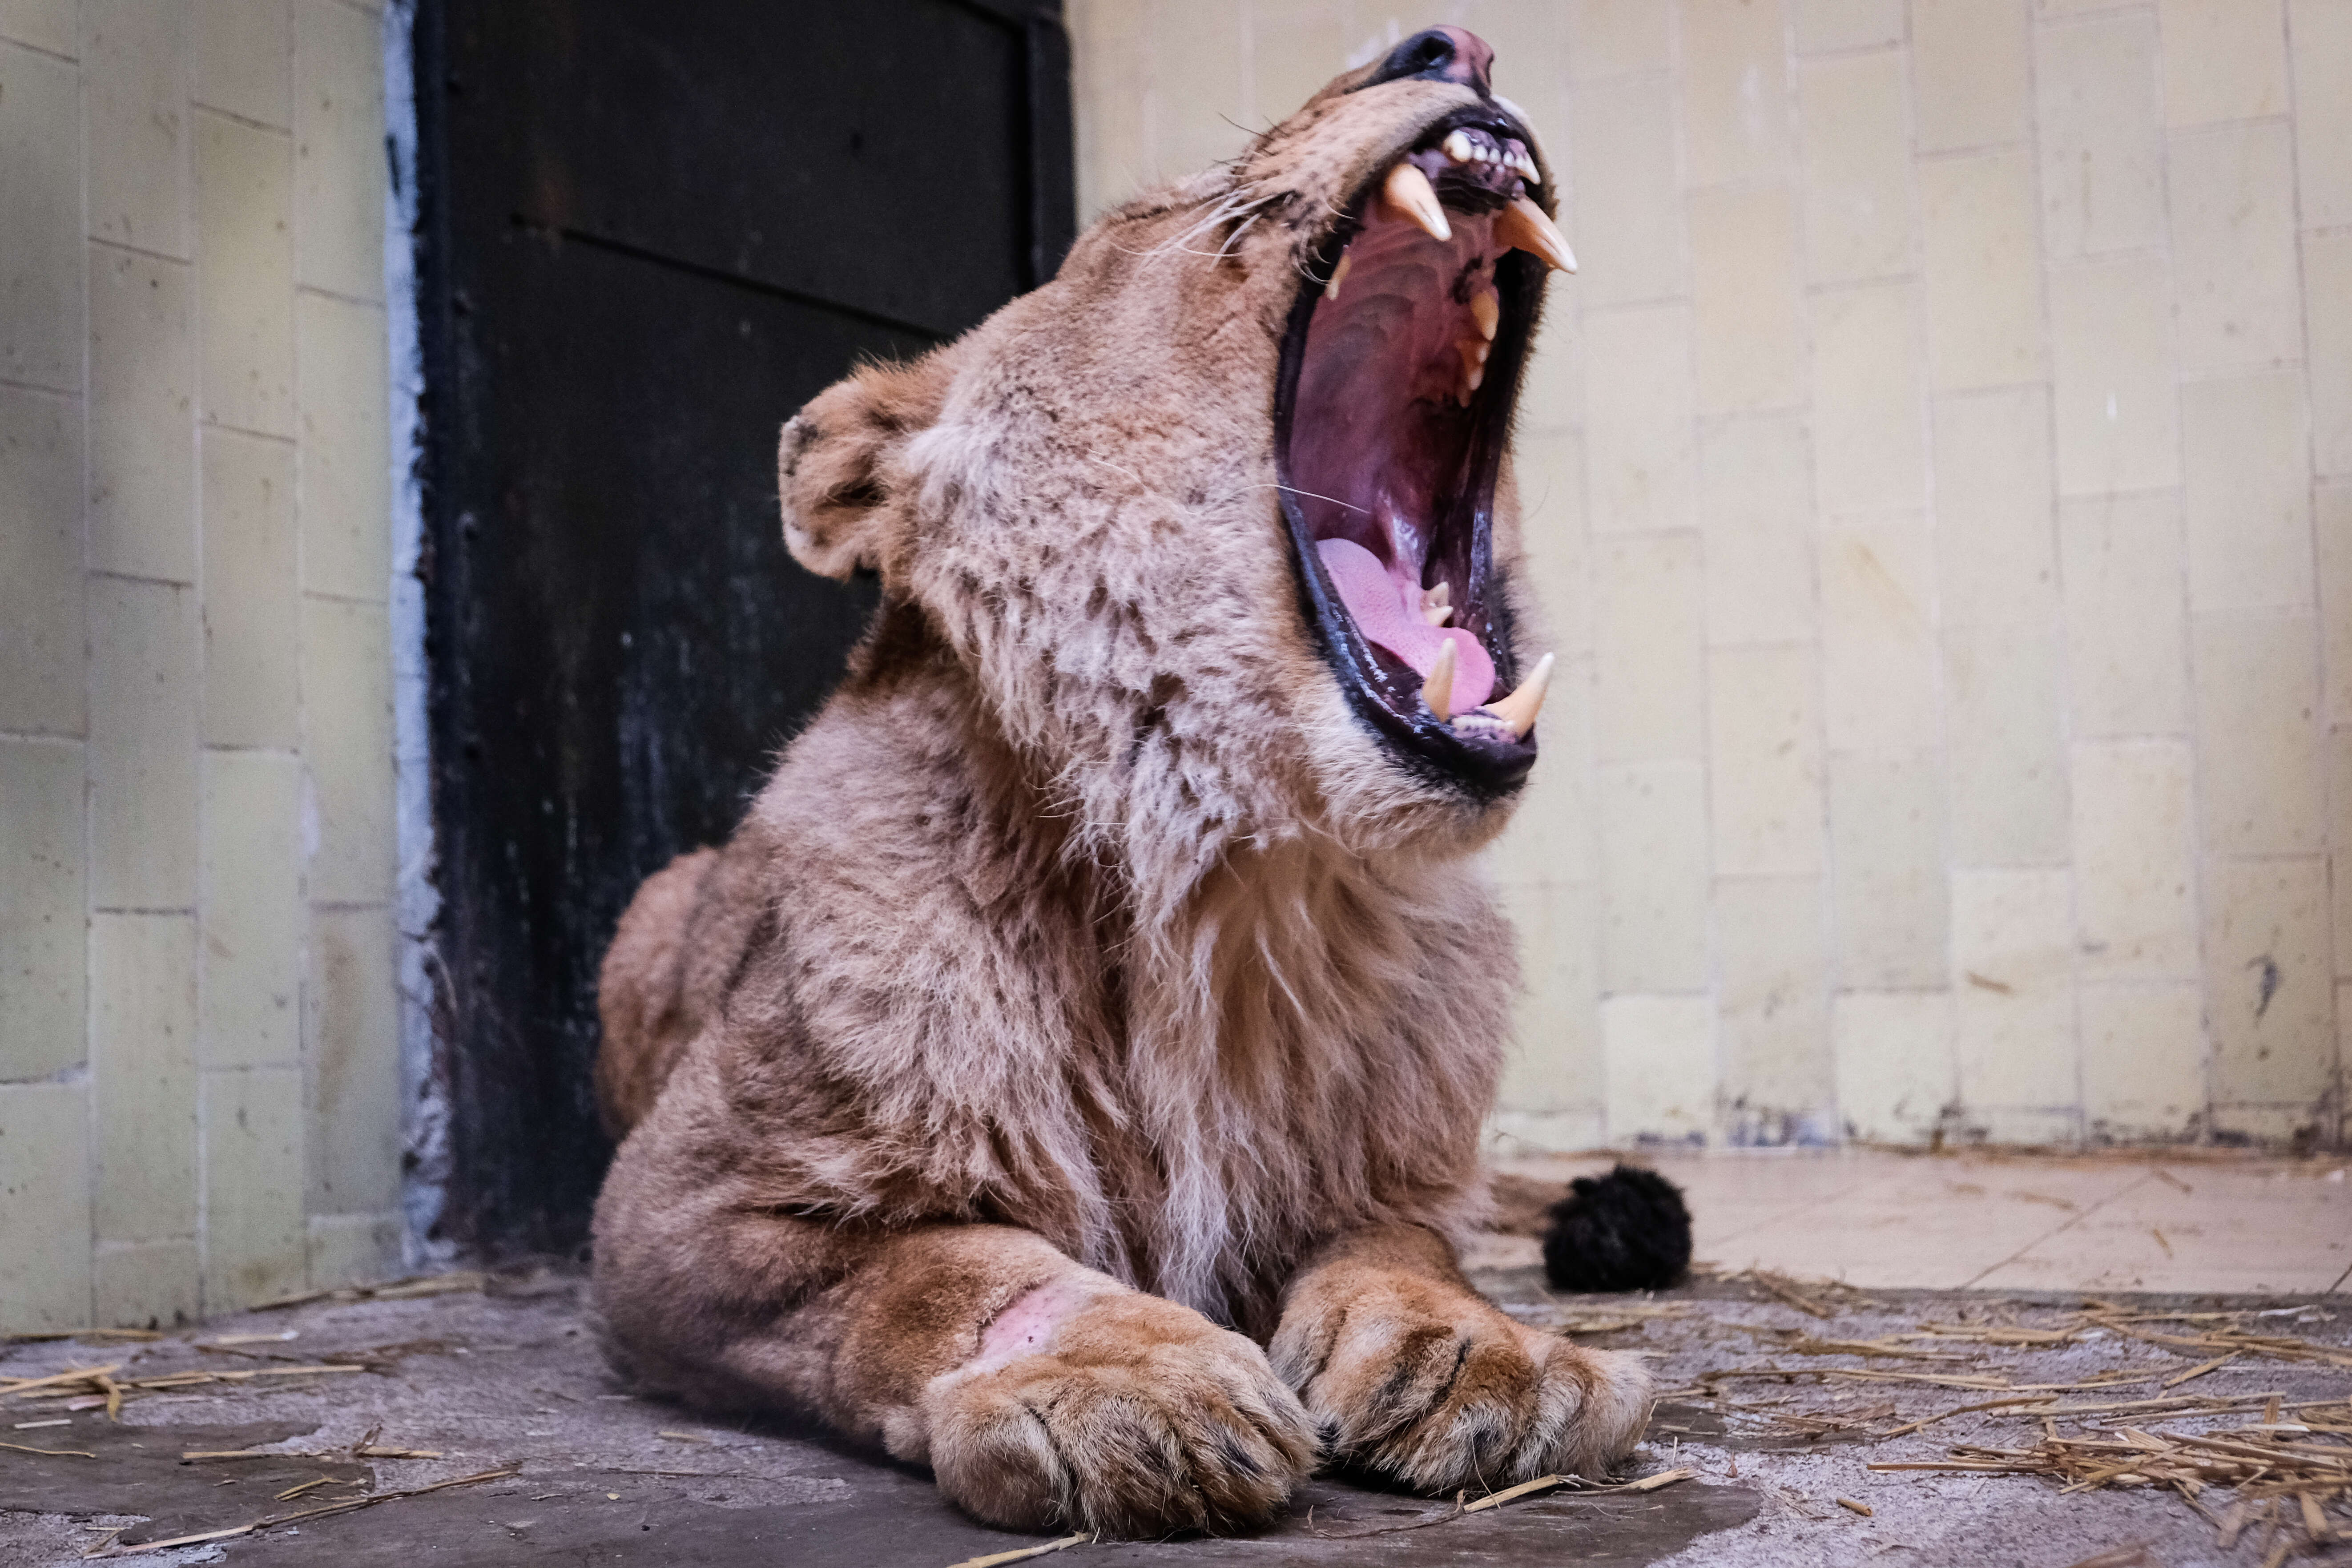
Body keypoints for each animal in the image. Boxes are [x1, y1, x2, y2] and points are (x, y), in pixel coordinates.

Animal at [588, 24, 1655, 1542]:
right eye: (1142, 218)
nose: (1453, 45)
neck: (1234, 886)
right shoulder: (673, 1214)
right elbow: (939, 1266)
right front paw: (1121, 1373)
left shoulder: (1382, 1175)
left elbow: (1403, 1247)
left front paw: (1480, 1349)